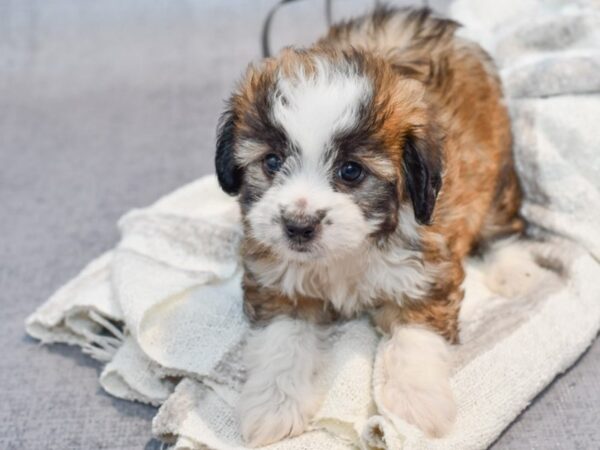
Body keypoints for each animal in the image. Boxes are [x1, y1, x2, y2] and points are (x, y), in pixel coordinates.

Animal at [214, 6, 520, 446]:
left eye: (351, 171)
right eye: (271, 162)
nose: (298, 226)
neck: (352, 247)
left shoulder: (426, 267)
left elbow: (415, 336)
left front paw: (415, 404)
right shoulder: (276, 282)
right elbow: (281, 341)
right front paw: (274, 405)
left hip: (494, 172)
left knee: (502, 222)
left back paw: (515, 271)